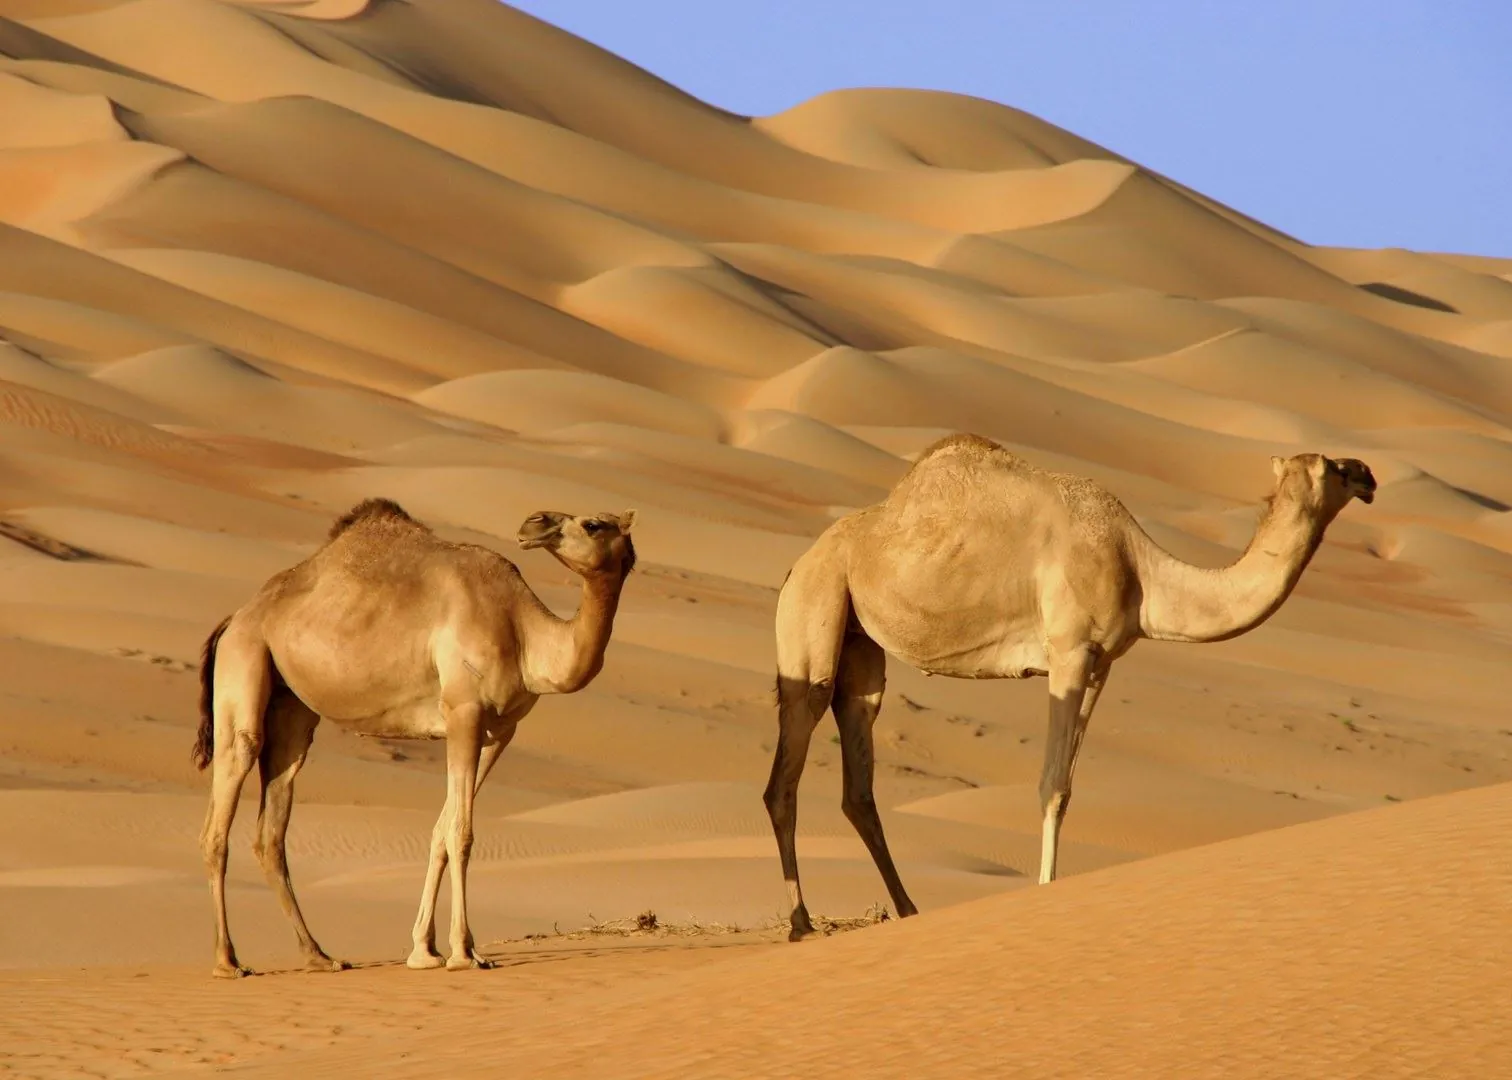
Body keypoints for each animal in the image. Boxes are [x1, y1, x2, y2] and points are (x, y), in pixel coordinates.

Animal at [190, 496, 638, 974]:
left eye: (593, 524)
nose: (534, 522)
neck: (523, 633)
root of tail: (235, 618)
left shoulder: (500, 730)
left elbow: (441, 830)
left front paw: (426, 950)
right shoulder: (463, 711)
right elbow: (461, 832)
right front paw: (462, 953)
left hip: (291, 707)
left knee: (271, 825)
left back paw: (319, 956)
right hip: (244, 661)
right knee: (223, 806)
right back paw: (228, 961)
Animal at [774, 432, 1378, 937]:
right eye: (1335, 468)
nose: (1369, 474)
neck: (1142, 571)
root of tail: (796, 564)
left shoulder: (1101, 663)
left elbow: (1067, 785)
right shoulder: (1068, 651)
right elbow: (1050, 785)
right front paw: (1045, 891)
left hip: (860, 646)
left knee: (858, 775)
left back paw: (907, 909)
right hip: (815, 604)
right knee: (790, 763)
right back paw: (801, 923)